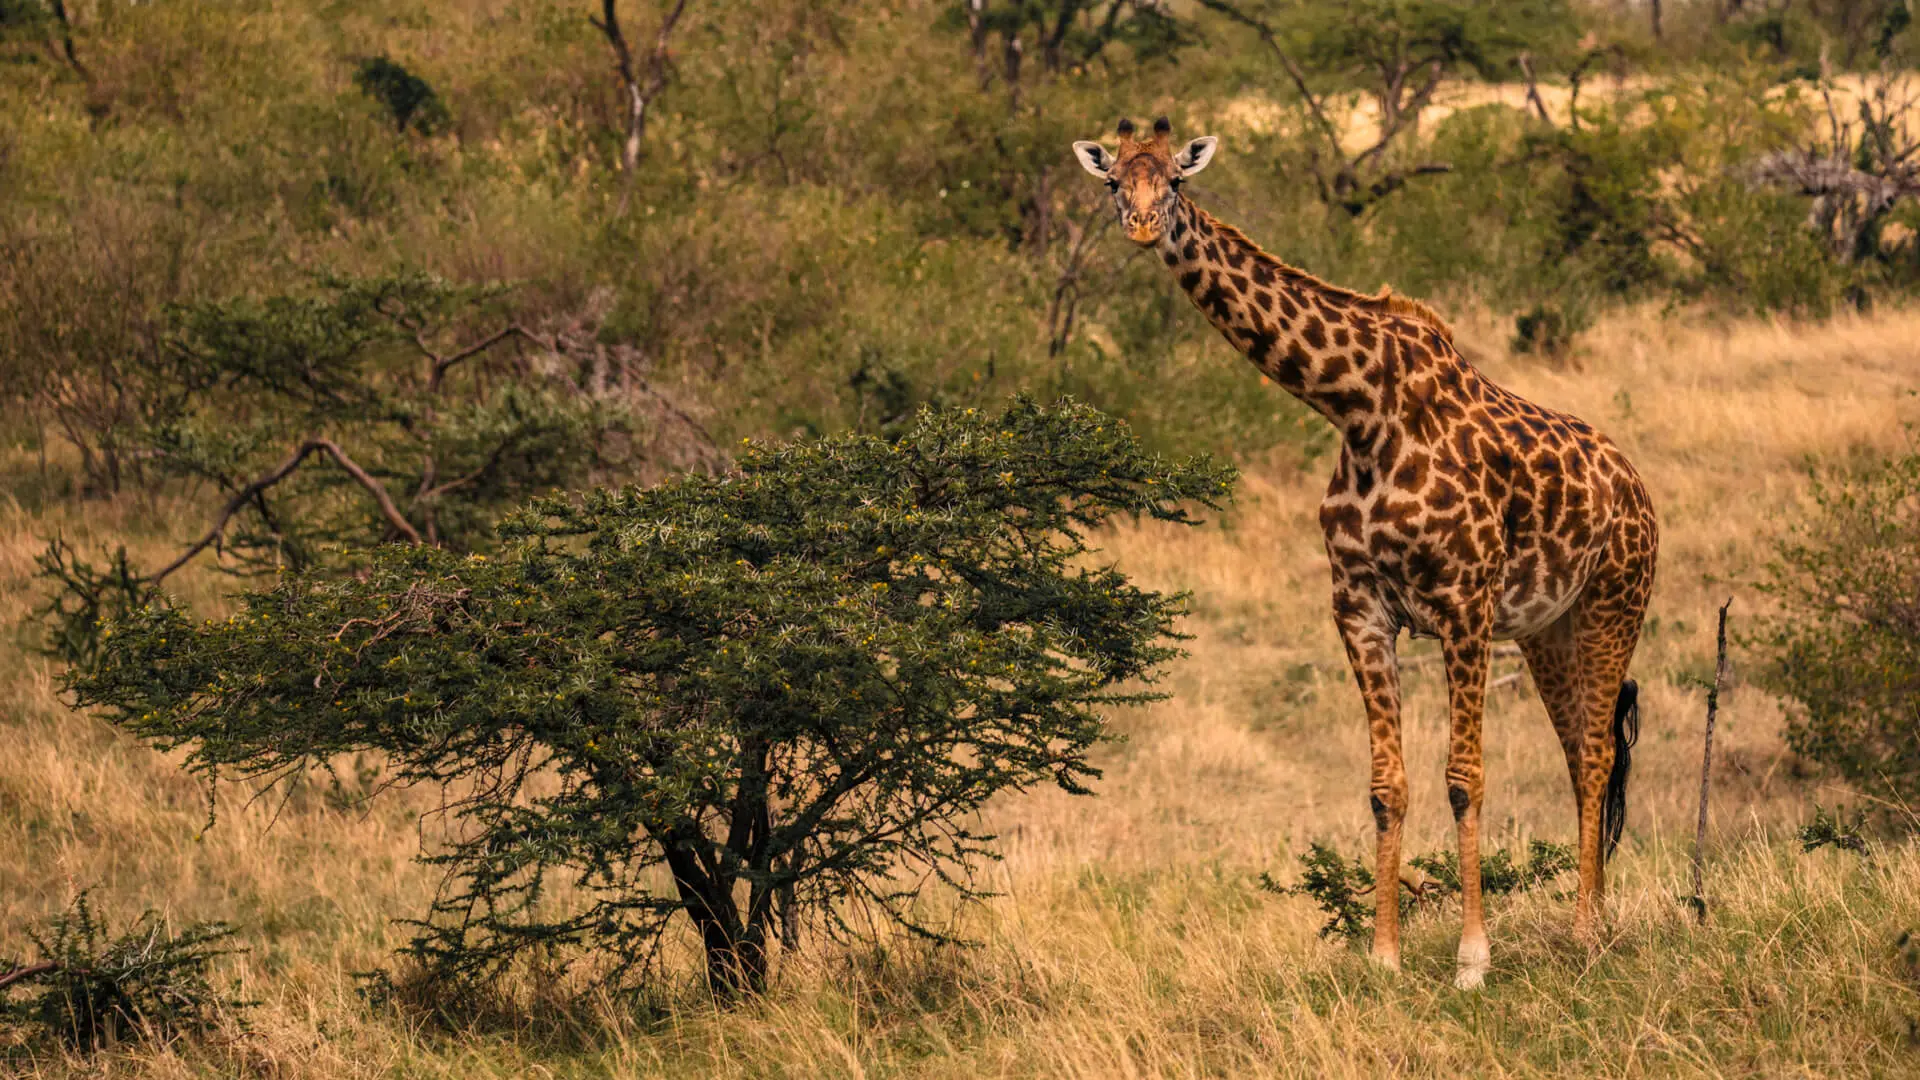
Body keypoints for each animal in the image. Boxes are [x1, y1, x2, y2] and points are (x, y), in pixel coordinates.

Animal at [1072, 117, 1657, 989]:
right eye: (1115, 181)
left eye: (1174, 180)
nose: (1143, 226)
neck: (1357, 407)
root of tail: (1637, 487)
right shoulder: (1360, 609)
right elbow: (1388, 786)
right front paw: (1383, 955)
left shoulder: (1463, 605)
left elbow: (1463, 779)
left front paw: (1472, 959)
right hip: (1546, 629)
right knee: (1579, 750)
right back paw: (1589, 917)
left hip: (1616, 601)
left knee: (1594, 753)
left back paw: (1588, 930)